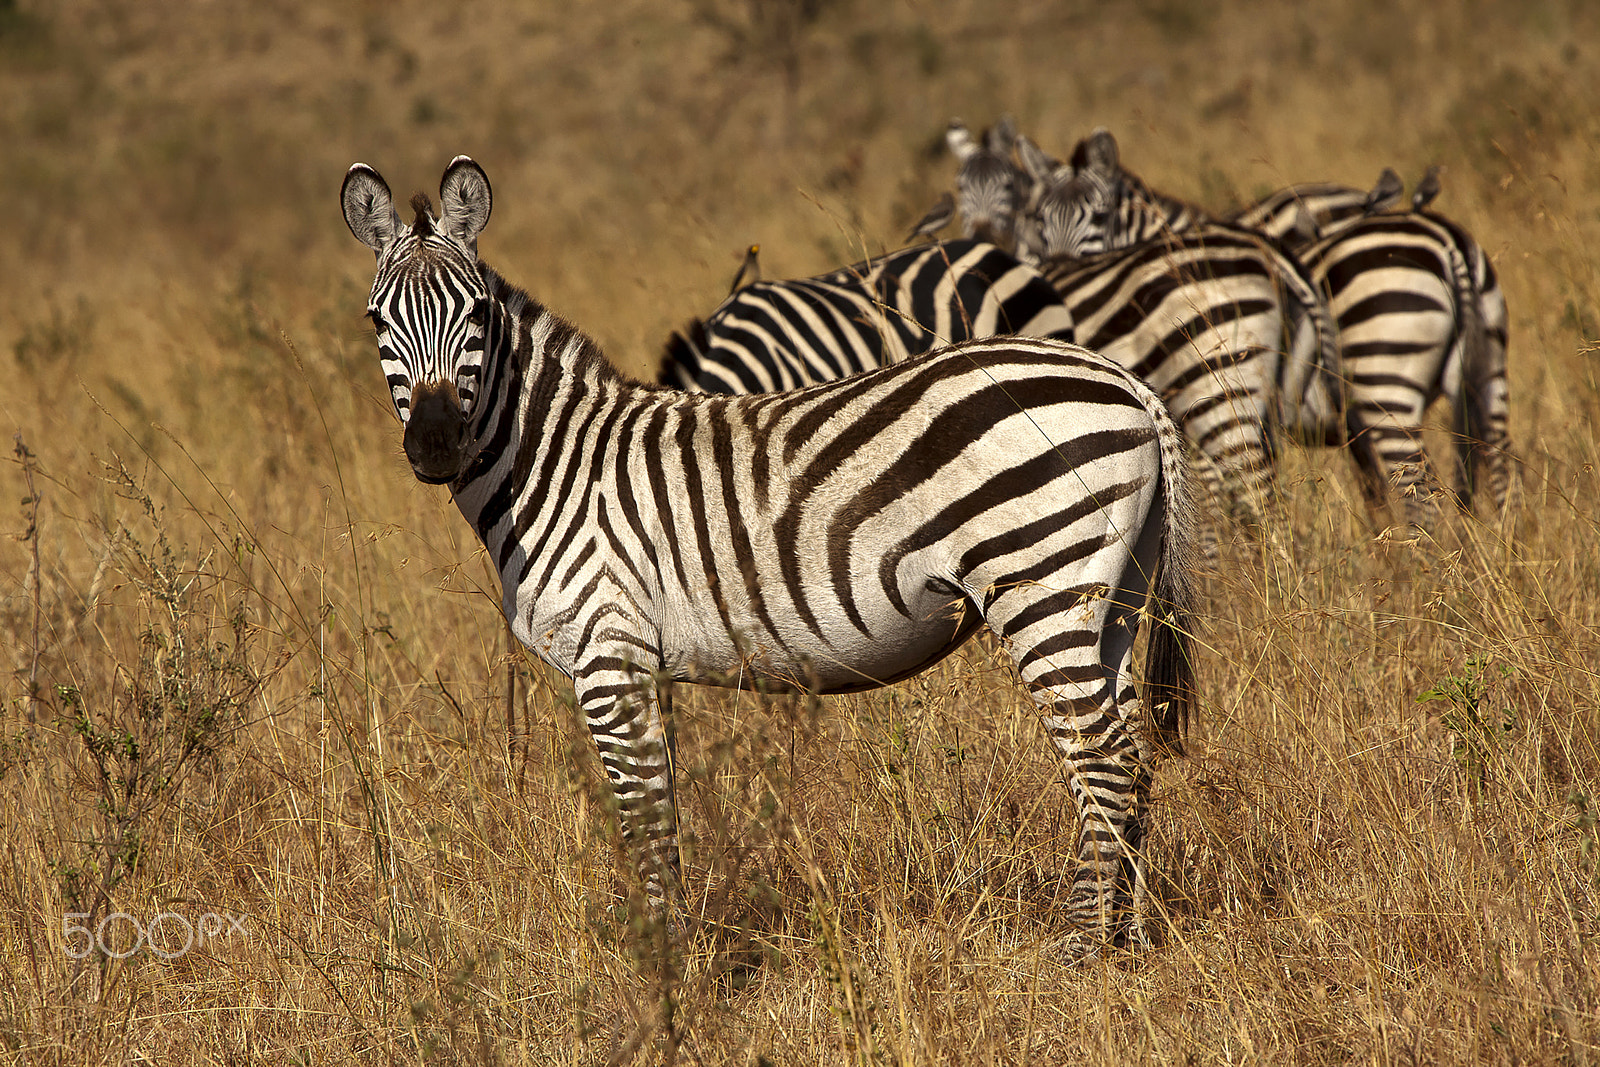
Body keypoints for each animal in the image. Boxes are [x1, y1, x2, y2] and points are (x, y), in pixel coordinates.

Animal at [1024, 127, 1510, 527]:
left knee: (1419, 499)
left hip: (1381, 384)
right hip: (1488, 375)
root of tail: (1447, 242)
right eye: (1038, 219)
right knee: (1501, 474)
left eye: (1099, 217)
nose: (1054, 271)